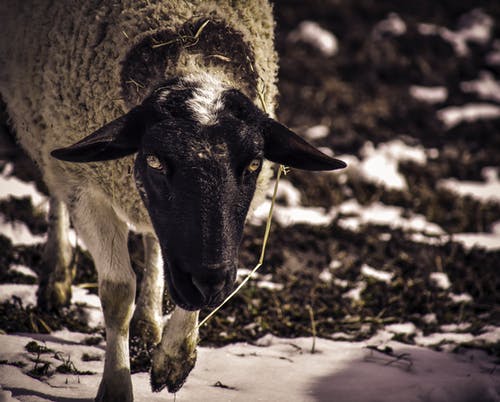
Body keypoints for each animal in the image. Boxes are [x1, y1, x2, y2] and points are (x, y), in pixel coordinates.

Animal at [0, 1, 346, 400]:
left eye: (254, 164)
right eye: (154, 160)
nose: (210, 282)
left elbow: (180, 273)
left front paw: (175, 356)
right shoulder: (87, 190)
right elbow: (118, 292)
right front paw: (117, 386)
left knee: (154, 238)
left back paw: (148, 323)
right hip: (48, 131)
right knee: (55, 185)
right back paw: (56, 275)